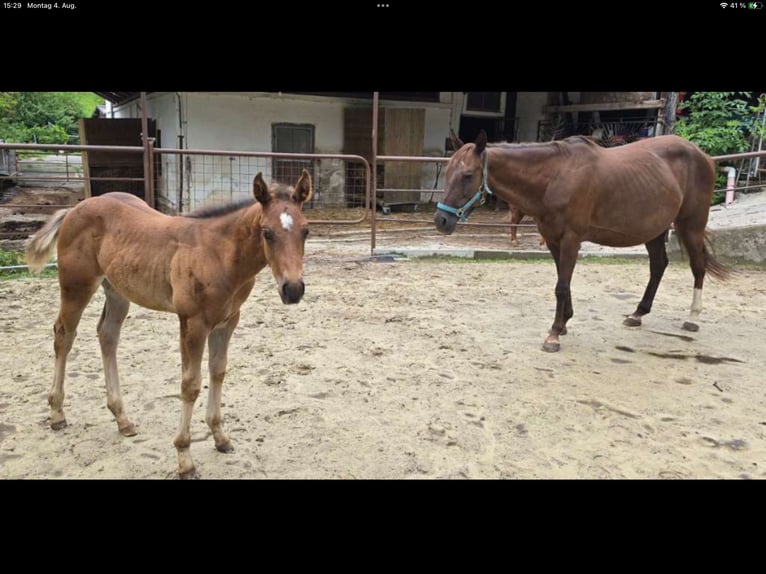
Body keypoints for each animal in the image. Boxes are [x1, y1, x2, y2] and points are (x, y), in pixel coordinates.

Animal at [25, 170, 313, 478]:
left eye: (306, 231)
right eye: (267, 232)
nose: (293, 289)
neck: (218, 255)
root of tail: (73, 210)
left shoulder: (228, 321)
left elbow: (218, 372)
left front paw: (220, 437)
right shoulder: (193, 323)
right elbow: (191, 384)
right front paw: (185, 458)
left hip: (117, 291)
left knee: (107, 336)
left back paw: (122, 419)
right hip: (76, 287)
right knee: (63, 336)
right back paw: (57, 413)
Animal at [434, 130, 730, 352]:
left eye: (468, 175)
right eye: (447, 172)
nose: (441, 221)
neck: (555, 176)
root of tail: (704, 156)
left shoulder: (571, 239)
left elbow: (561, 286)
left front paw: (553, 334)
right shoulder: (553, 239)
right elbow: (563, 282)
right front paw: (564, 323)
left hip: (691, 225)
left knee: (698, 266)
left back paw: (692, 318)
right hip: (655, 230)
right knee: (658, 266)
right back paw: (637, 313)